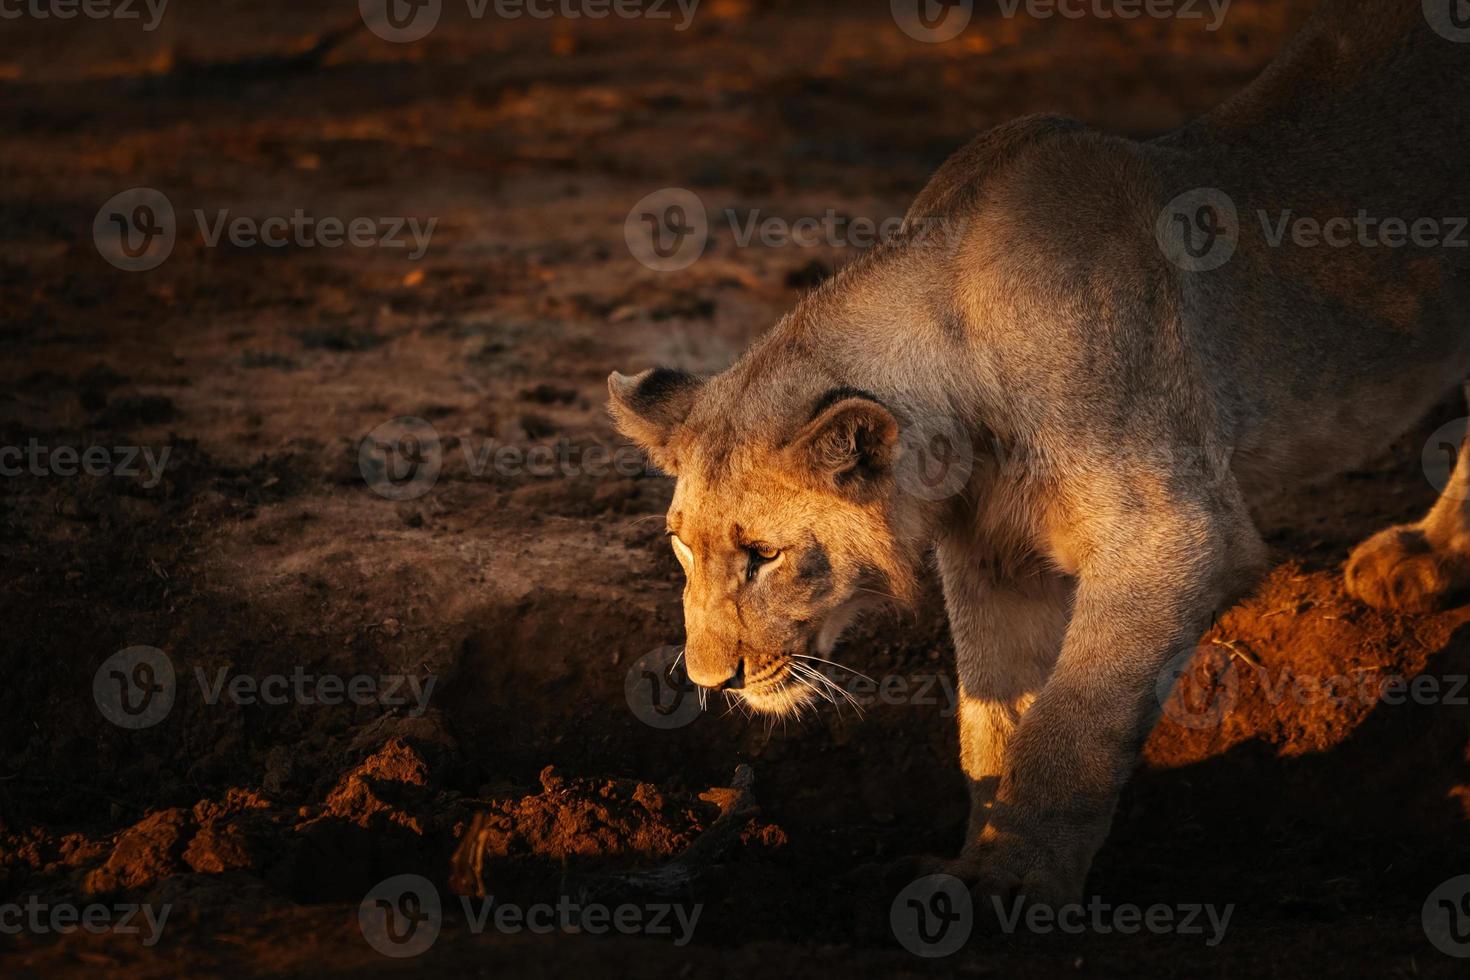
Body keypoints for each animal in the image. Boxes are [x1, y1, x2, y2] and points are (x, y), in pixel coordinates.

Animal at [605, 0, 1470, 910]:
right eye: (680, 546)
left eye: (765, 555)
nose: (711, 684)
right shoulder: (991, 557)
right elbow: (992, 721)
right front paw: (969, 868)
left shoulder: (1176, 532)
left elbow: (1070, 722)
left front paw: (1014, 884)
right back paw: (1431, 555)